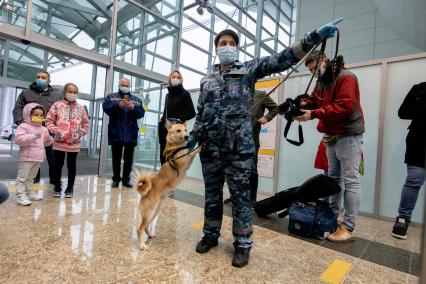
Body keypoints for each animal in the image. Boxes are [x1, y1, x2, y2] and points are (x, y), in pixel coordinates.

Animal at [134, 121, 201, 250]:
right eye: (178, 130)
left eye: (186, 130)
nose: (187, 136)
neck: (175, 148)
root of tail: (144, 193)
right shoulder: (185, 162)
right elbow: (192, 152)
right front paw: (201, 146)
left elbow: (191, 152)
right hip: (149, 213)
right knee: (139, 229)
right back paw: (142, 245)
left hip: (154, 213)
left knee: (145, 227)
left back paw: (150, 235)